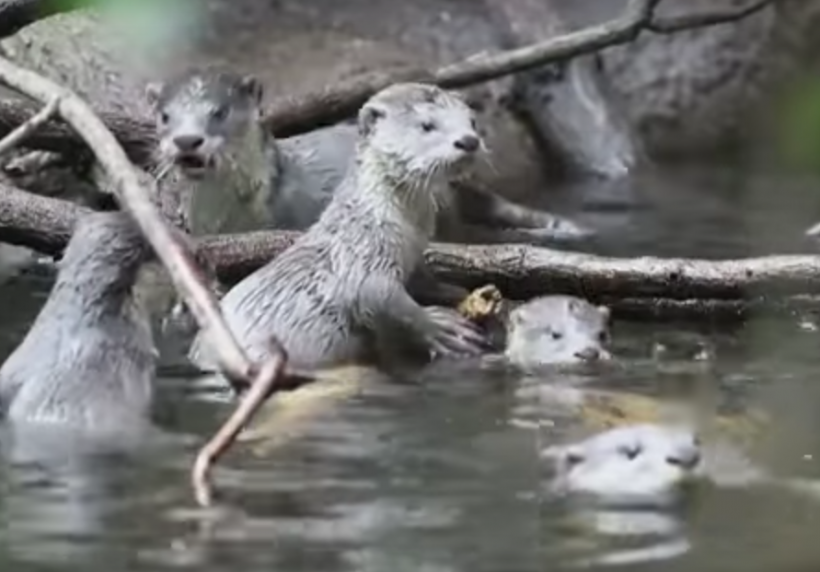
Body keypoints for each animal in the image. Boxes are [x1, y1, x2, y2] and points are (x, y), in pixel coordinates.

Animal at [189, 82, 490, 374]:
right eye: (427, 125)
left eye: (472, 121)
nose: (469, 141)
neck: (382, 216)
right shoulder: (361, 252)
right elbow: (376, 295)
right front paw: (438, 326)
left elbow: (422, 278)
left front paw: (452, 291)